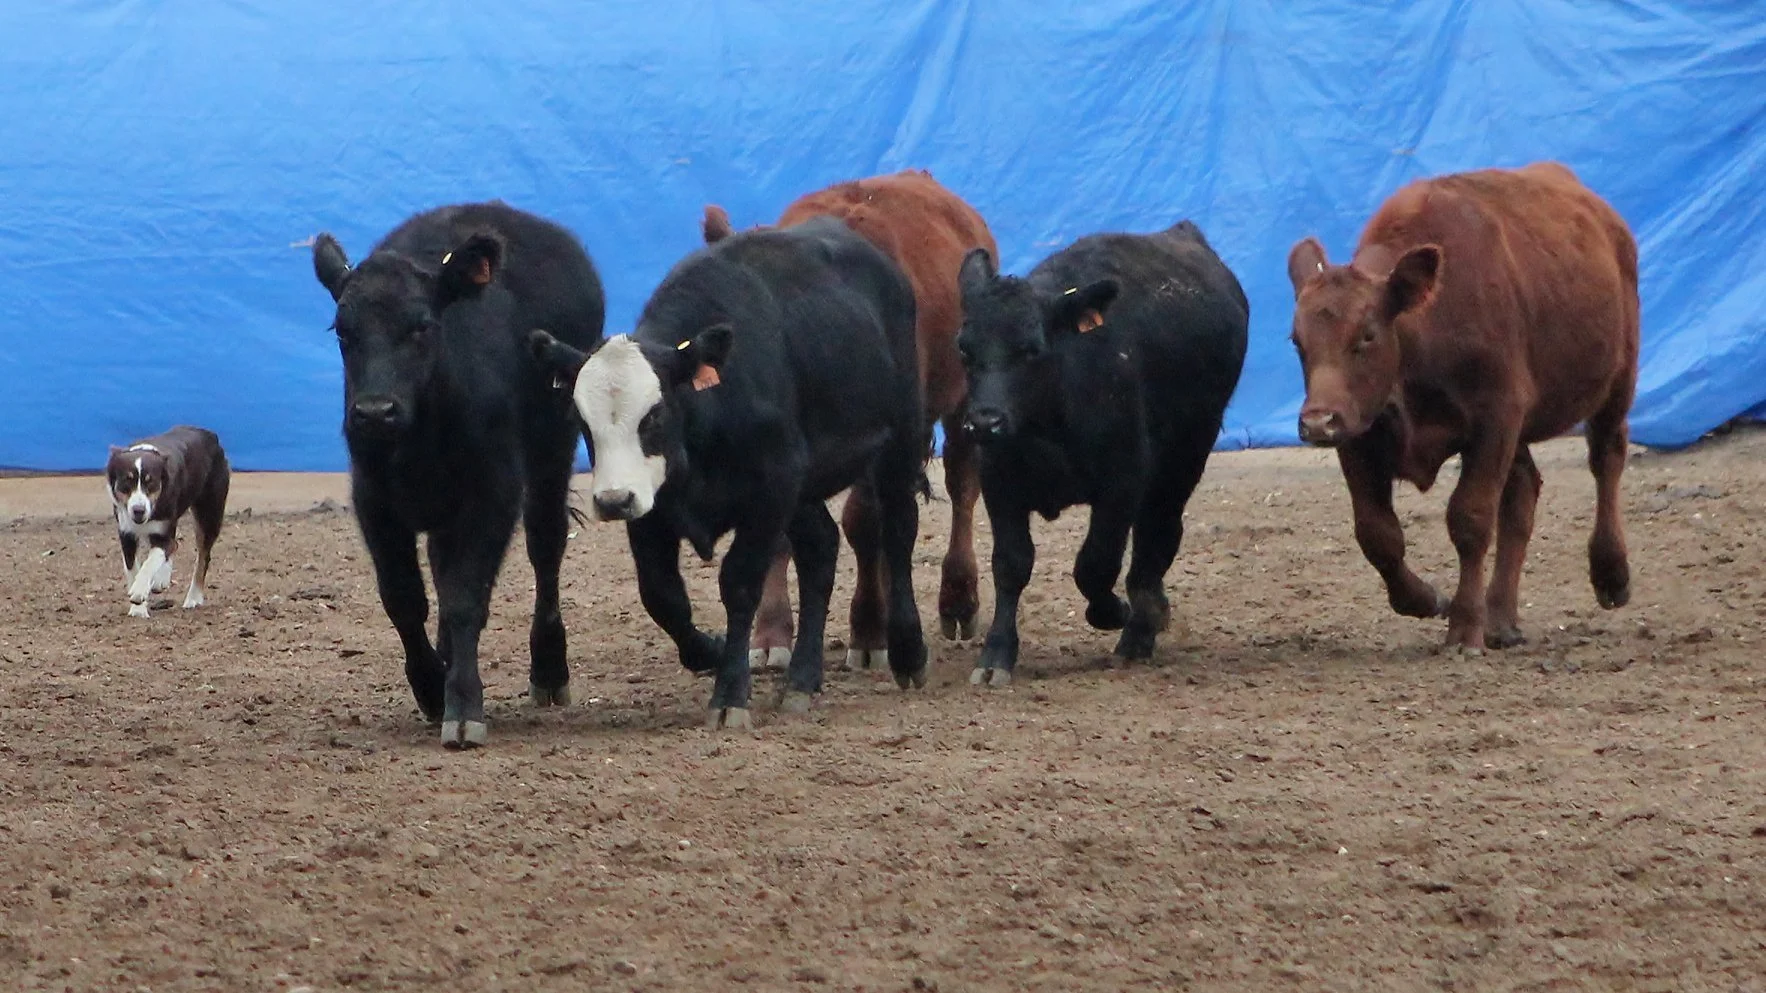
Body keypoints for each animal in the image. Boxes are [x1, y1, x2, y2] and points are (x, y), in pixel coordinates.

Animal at [310, 202, 605, 749]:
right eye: (343, 331)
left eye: (423, 326)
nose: (375, 412)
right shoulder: (373, 499)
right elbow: (404, 598)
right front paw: (430, 685)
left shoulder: (493, 492)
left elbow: (466, 598)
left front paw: (463, 704)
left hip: (553, 447)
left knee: (546, 547)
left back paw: (548, 668)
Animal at [529, 214, 926, 729]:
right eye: (581, 419)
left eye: (655, 414)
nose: (612, 501)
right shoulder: (654, 505)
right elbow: (661, 594)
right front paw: (711, 652)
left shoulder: (769, 492)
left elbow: (739, 584)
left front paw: (730, 695)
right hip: (801, 490)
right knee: (820, 548)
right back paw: (802, 679)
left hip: (899, 439)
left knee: (898, 530)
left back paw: (909, 653)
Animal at [700, 169, 998, 674]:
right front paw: (770, 634)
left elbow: (864, 521)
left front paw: (869, 630)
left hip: (958, 401)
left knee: (961, 485)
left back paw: (957, 599)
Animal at [955, 220, 1249, 686]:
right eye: (965, 349)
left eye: (1032, 349)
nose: (985, 422)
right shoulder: (1000, 483)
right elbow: (1011, 564)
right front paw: (996, 654)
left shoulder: (1123, 482)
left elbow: (1094, 563)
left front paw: (1114, 611)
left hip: (1182, 462)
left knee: (1157, 536)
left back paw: (1140, 628)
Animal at [1285, 162, 1639, 651]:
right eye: (1297, 341)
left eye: (1368, 335)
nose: (1317, 422)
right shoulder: (1358, 430)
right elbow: (1377, 533)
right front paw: (1424, 599)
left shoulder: (1496, 417)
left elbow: (1470, 518)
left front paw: (1464, 625)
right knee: (1523, 491)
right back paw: (1501, 618)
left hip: (1615, 379)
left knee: (1607, 458)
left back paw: (1610, 573)